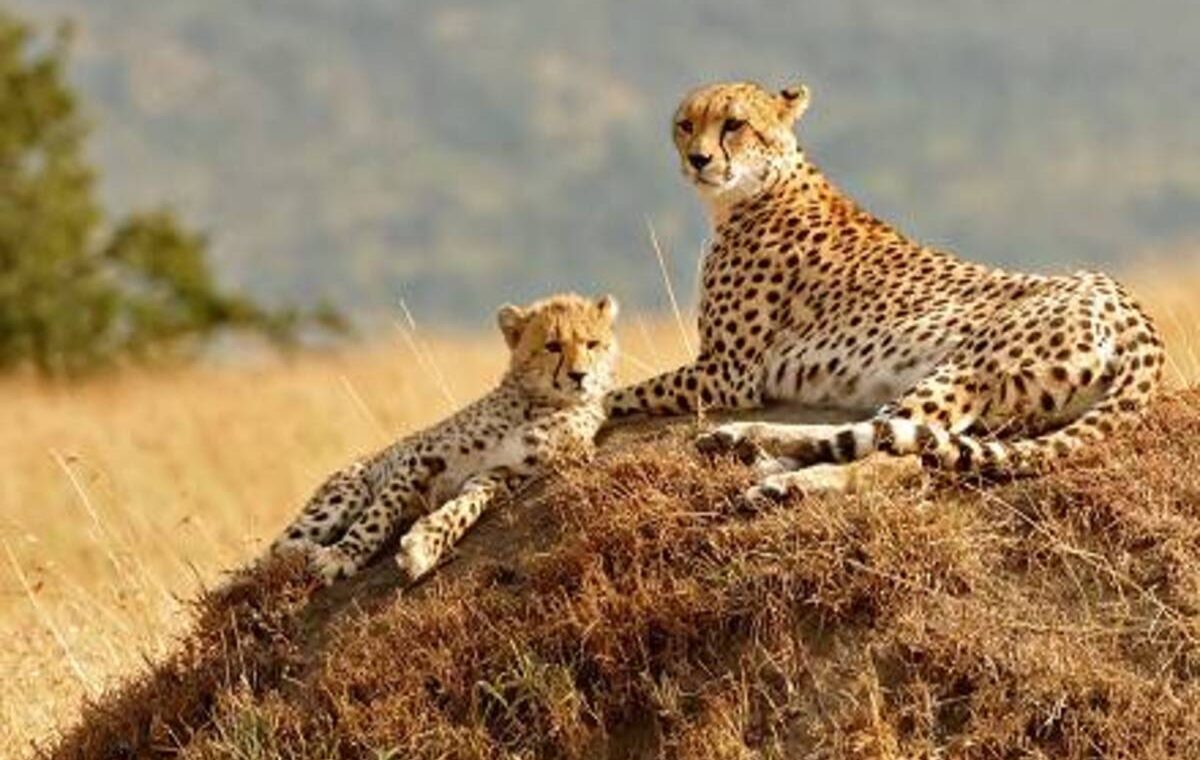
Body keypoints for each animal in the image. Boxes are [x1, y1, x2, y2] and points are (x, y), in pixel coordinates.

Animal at [273, 292, 619, 584]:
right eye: (552, 346)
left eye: (592, 344)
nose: (580, 375)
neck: (540, 404)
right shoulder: (421, 457)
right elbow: (379, 513)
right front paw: (342, 554)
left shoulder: (499, 475)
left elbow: (463, 509)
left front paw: (425, 544)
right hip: (347, 493)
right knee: (276, 550)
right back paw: (299, 553)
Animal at [606, 79, 1164, 499]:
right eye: (686, 124)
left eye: (734, 125)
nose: (698, 159)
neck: (761, 186)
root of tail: (1133, 310)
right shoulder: (722, 371)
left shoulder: (727, 373)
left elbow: (622, 391)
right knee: (898, 440)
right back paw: (754, 449)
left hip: (966, 366)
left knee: (899, 452)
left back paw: (781, 474)